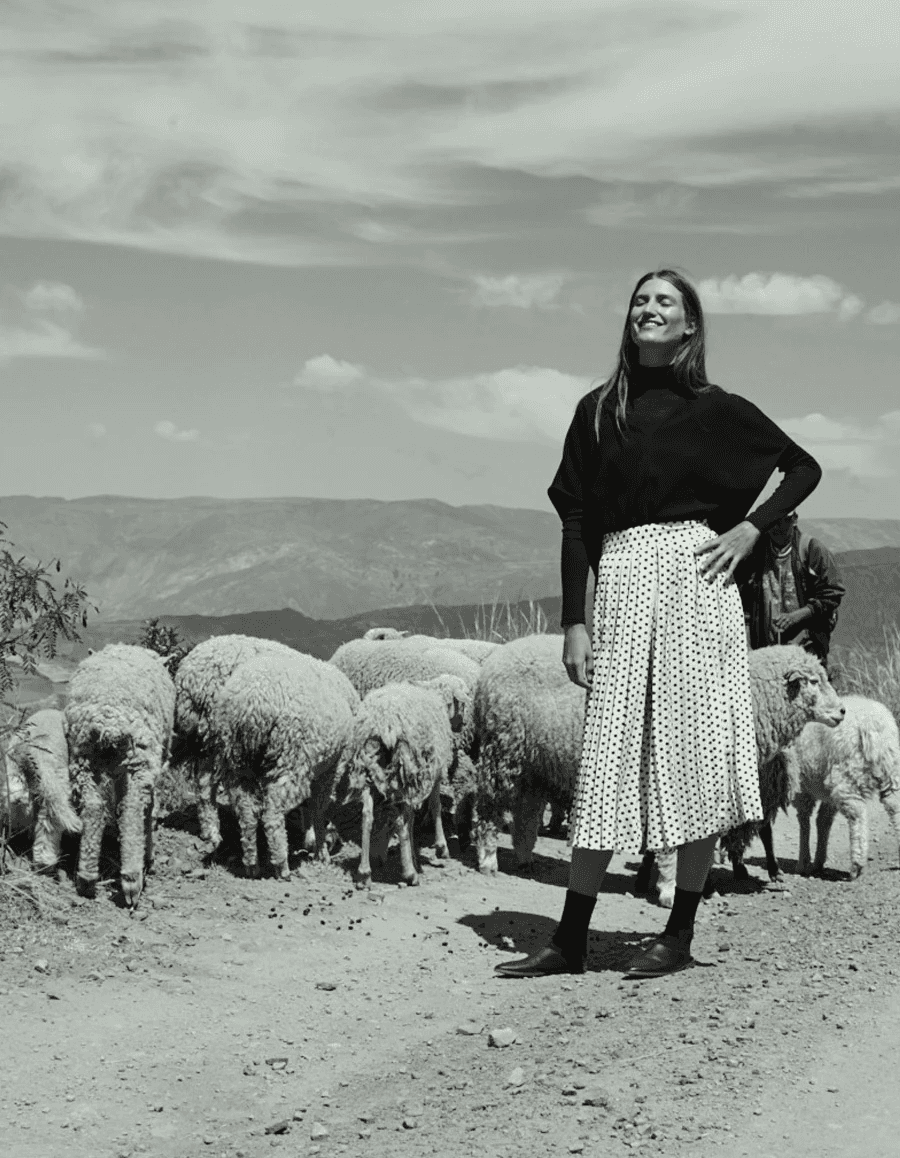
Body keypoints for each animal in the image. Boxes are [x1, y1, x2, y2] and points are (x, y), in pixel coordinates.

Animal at [65, 645, 175, 907]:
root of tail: (109, 722)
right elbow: (148, 808)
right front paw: (149, 854)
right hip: (138, 759)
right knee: (132, 810)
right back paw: (133, 879)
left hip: (83, 758)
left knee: (94, 807)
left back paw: (86, 878)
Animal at [208, 650, 359, 880]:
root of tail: (253, 702)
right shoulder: (332, 767)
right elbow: (318, 808)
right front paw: (321, 849)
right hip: (291, 757)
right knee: (272, 813)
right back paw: (282, 865)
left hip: (235, 760)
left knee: (246, 811)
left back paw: (251, 864)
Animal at [336, 674, 469, 888]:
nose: (462, 724)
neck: (438, 699)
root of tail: (383, 722)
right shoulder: (434, 771)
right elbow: (435, 806)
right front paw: (441, 848)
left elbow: (410, 816)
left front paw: (385, 852)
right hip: (404, 768)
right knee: (399, 819)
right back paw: (409, 873)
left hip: (368, 767)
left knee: (367, 815)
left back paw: (364, 873)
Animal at [791, 694, 900, 879]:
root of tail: (872, 725)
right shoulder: (824, 791)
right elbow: (823, 821)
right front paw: (818, 861)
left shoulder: (800, 787)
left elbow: (804, 821)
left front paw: (803, 862)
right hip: (891, 768)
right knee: (895, 805)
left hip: (846, 775)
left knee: (858, 813)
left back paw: (857, 864)